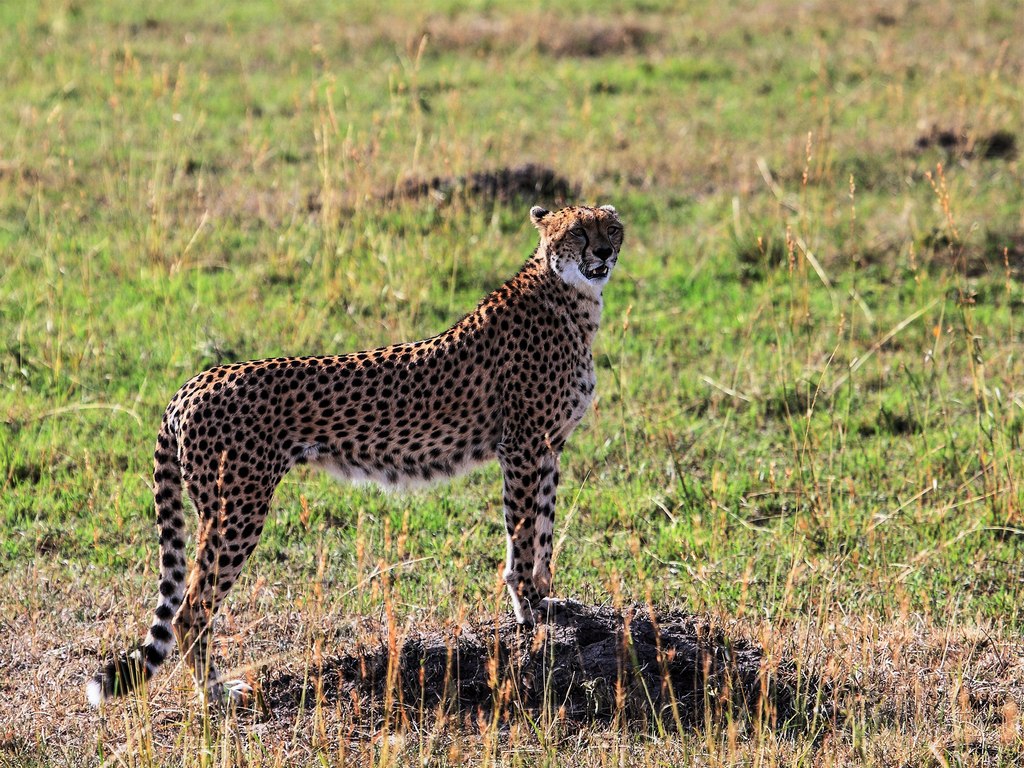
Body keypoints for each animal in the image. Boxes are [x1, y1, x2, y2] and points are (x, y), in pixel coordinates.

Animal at [88, 204, 626, 708]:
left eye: (611, 228)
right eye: (577, 232)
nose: (602, 252)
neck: (571, 297)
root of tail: (195, 381)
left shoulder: (547, 447)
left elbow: (544, 531)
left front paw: (548, 601)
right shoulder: (521, 445)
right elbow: (524, 535)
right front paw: (530, 609)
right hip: (235, 509)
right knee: (190, 608)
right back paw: (216, 693)